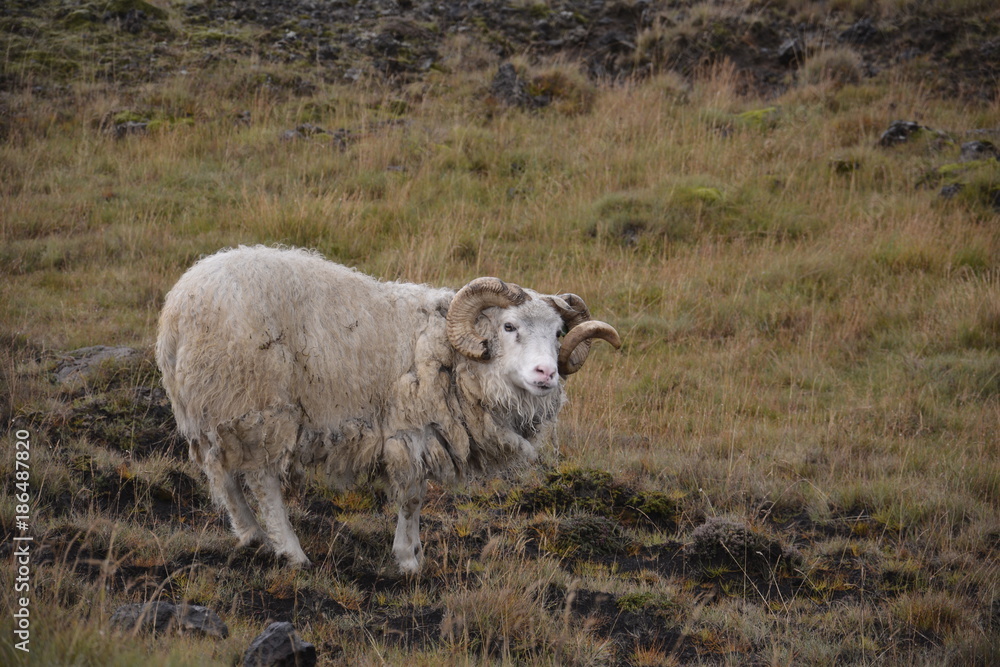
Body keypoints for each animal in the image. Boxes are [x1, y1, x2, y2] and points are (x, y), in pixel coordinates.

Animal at [156, 245, 620, 571]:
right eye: (509, 326)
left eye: (558, 333)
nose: (547, 374)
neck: (452, 350)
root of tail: (178, 307)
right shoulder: (409, 430)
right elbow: (412, 496)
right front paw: (408, 559)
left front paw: (413, 552)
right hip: (258, 405)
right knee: (262, 481)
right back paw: (290, 552)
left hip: (214, 410)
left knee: (223, 476)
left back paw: (252, 537)